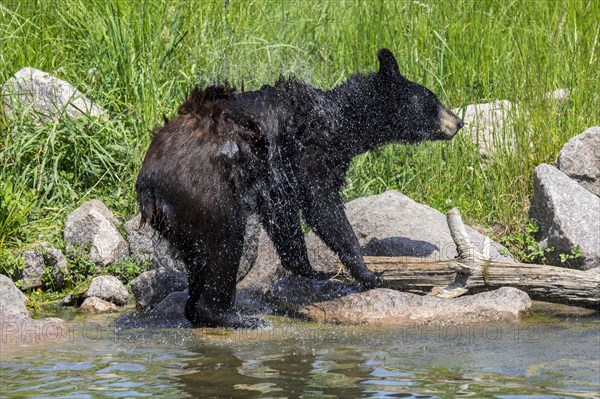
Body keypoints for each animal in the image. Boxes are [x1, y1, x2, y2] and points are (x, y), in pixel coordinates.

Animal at [136, 48, 464, 328]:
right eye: (434, 101)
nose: (459, 122)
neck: (341, 119)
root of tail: (149, 186)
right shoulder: (309, 152)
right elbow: (322, 205)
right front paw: (368, 273)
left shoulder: (275, 176)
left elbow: (283, 218)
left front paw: (312, 270)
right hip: (204, 192)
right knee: (225, 242)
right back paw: (232, 316)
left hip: (183, 218)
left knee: (199, 256)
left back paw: (197, 310)